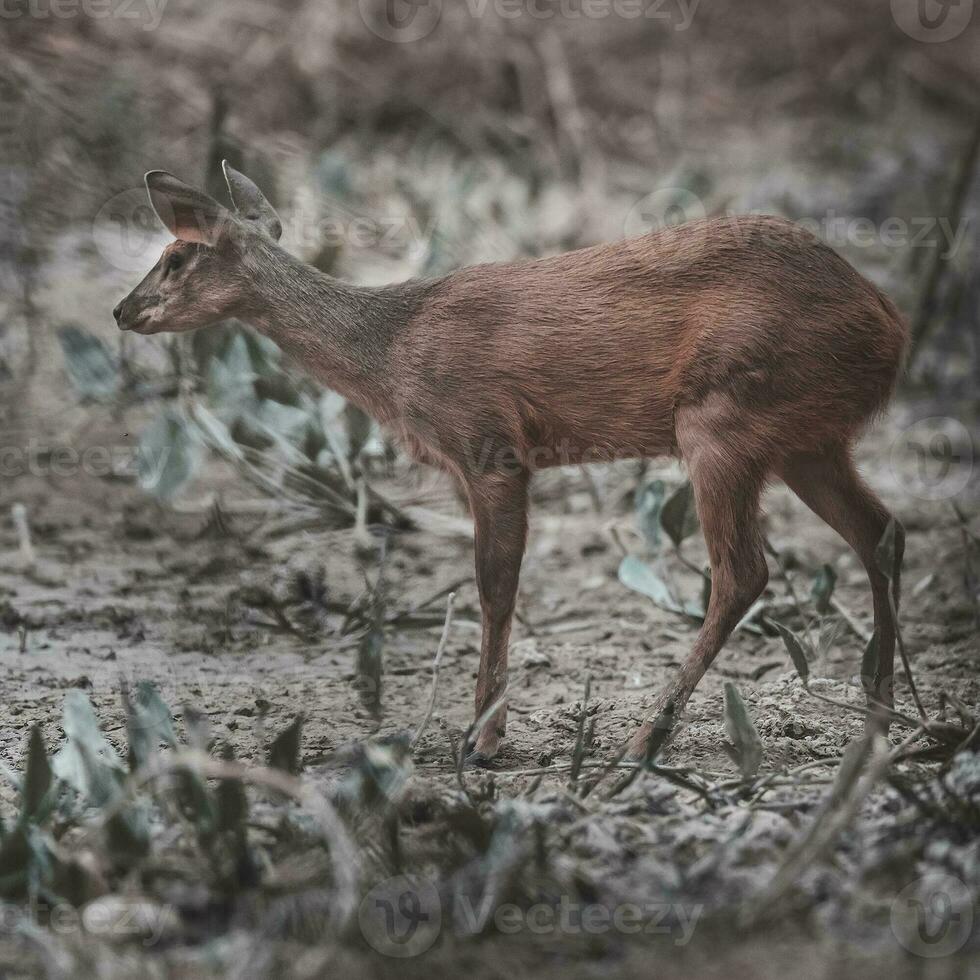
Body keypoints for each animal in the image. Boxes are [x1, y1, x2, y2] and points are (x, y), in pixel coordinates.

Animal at [111, 165, 908, 764]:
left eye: (175, 256)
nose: (122, 311)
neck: (393, 349)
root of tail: (890, 324)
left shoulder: (490, 445)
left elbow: (495, 586)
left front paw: (483, 737)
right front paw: (481, 729)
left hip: (725, 415)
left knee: (744, 572)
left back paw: (646, 738)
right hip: (807, 439)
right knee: (881, 532)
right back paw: (882, 707)